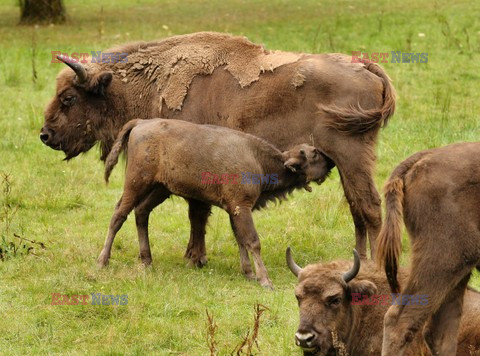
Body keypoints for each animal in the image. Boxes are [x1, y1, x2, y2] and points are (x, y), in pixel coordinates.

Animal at [40, 31, 394, 264]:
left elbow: (197, 212)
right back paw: (361, 259)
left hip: (352, 156)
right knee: (357, 208)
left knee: (369, 207)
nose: (45, 134)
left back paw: (376, 264)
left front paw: (195, 257)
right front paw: (194, 256)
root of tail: (366, 67)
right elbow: (197, 212)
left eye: (68, 98)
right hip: (345, 162)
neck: (152, 80)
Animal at [100, 118, 334, 288]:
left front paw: (248, 273)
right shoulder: (241, 207)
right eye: (314, 153)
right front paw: (265, 280)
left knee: (141, 212)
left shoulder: (234, 209)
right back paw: (103, 261)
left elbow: (240, 239)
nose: (331, 161)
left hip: (160, 189)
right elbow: (252, 241)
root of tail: (140, 123)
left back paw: (147, 260)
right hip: (136, 183)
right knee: (118, 215)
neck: (257, 159)